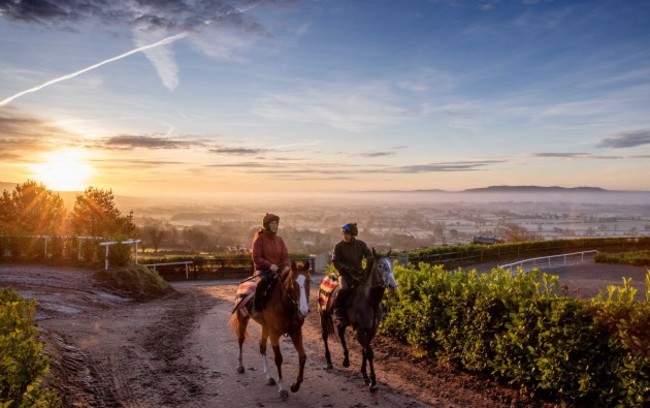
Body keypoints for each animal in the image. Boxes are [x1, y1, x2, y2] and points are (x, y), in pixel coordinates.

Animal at [229, 262, 310, 398]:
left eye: (308, 281)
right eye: (293, 283)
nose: (304, 310)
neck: (284, 305)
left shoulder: (296, 332)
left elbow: (302, 357)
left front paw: (295, 386)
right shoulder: (274, 334)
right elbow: (278, 359)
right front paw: (282, 388)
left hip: (265, 327)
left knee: (262, 346)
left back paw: (269, 377)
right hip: (243, 318)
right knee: (241, 339)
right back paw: (240, 366)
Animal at [318, 249, 394, 392]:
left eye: (391, 264)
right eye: (380, 266)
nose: (392, 285)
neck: (370, 302)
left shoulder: (371, 330)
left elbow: (365, 351)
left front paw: (364, 375)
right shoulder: (358, 330)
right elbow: (369, 352)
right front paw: (373, 381)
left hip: (344, 321)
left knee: (340, 332)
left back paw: (346, 360)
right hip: (323, 314)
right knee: (325, 336)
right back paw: (329, 361)